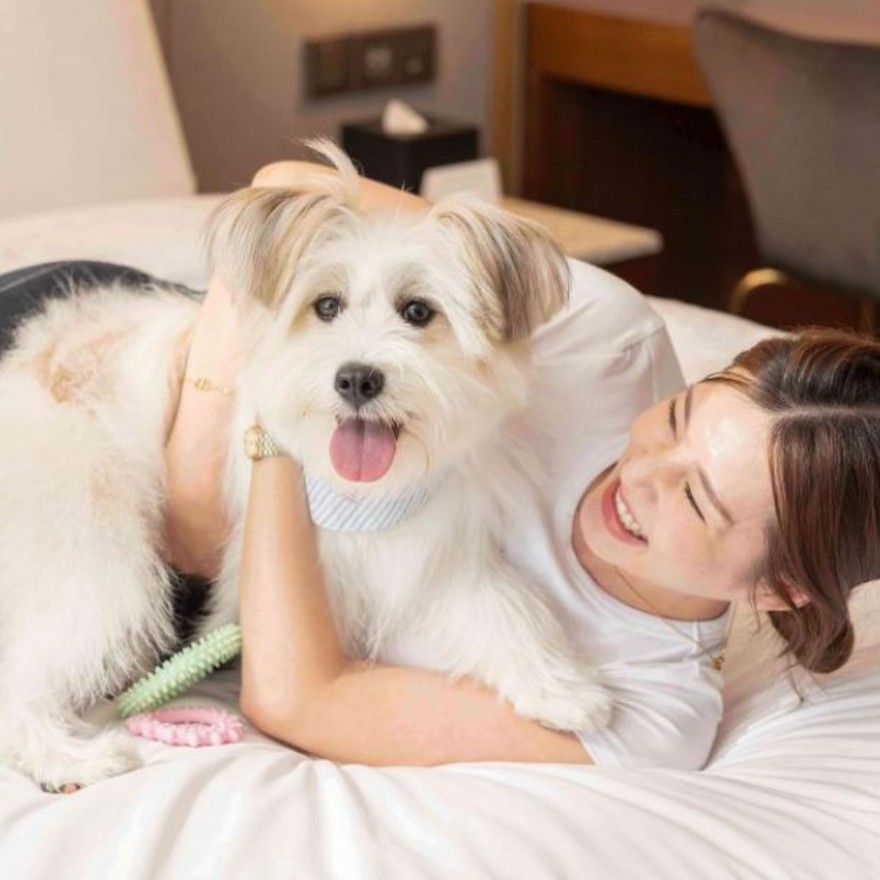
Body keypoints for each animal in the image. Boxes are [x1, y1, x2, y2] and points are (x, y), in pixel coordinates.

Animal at [0, 144, 604, 792]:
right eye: (327, 306)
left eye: (418, 311)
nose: (357, 378)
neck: (361, 495)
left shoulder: (430, 556)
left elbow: (500, 605)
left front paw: (557, 686)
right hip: (98, 561)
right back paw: (67, 758)